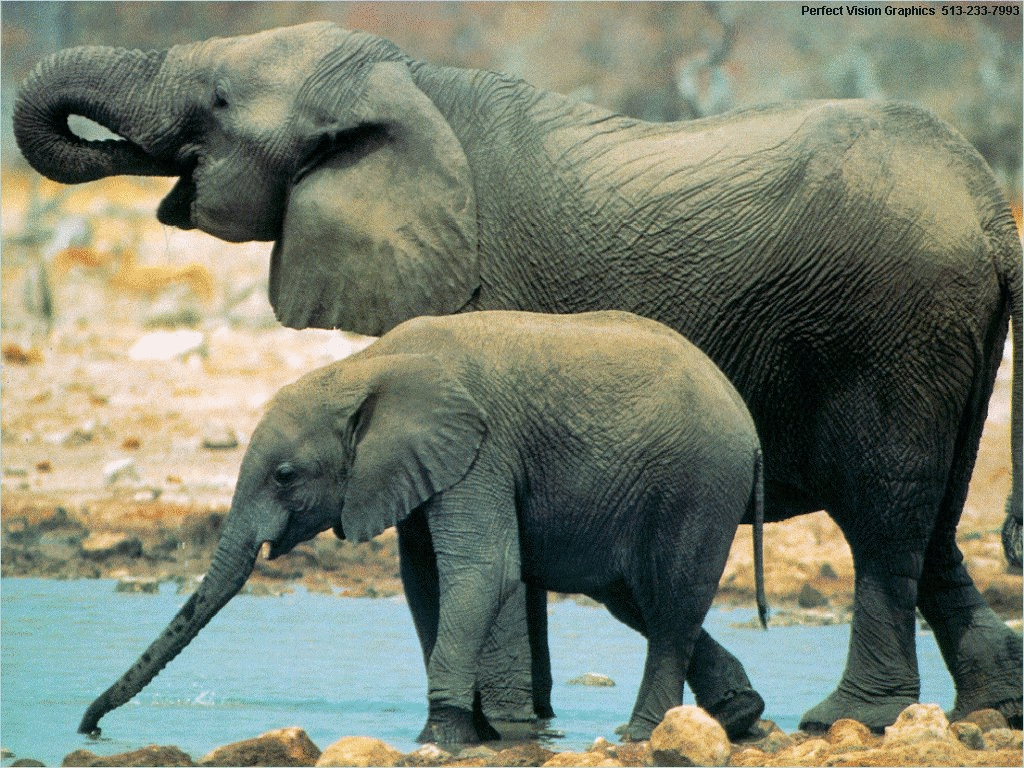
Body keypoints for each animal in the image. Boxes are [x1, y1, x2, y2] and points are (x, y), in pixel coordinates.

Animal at [79, 309, 765, 745]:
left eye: (284, 476)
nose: (88, 727)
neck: (364, 366)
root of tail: (748, 424)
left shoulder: (481, 451)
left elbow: (482, 570)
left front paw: (437, 735)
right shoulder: (418, 467)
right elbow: (423, 579)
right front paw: (476, 734)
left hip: (700, 481)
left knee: (669, 604)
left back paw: (640, 736)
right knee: (635, 599)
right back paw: (738, 718)